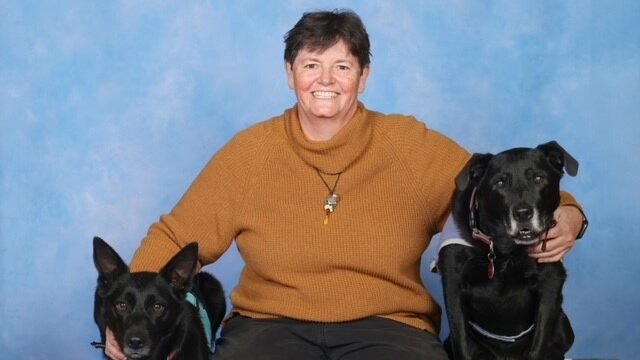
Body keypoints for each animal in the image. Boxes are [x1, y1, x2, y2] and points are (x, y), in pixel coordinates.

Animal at [438, 141, 576, 360]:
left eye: (538, 178)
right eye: (500, 183)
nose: (523, 213)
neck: (504, 250)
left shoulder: (550, 282)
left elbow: (539, 344)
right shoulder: (453, 284)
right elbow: (462, 344)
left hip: (564, 327)